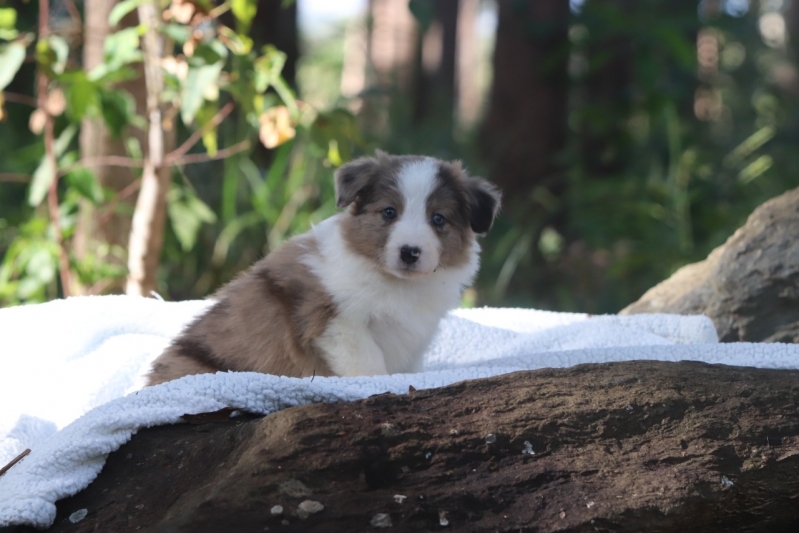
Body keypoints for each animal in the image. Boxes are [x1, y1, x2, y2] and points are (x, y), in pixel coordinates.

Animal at [145, 152, 500, 384]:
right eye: (389, 212)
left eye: (438, 219)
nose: (409, 252)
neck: (397, 283)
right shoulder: (336, 323)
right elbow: (369, 364)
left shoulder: (414, 337)